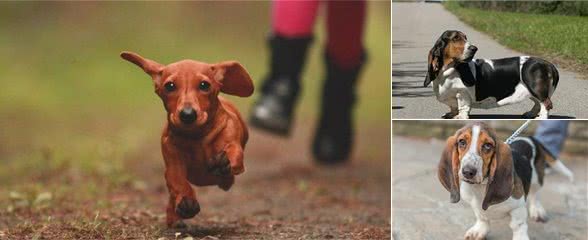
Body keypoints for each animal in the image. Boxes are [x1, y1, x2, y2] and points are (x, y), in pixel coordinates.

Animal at [120, 50, 254, 227]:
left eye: (204, 85)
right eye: (170, 86)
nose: (188, 115)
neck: (196, 137)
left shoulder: (231, 140)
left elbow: (234, 154)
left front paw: (224, 162)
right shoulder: (172, 164)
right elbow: (178, 181)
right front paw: (186, 200)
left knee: (227, 180)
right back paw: (174, 217)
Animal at [424, 30, 560, 119]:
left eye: (465, 37)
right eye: (455, 38)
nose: (474, 48)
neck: (448, 70)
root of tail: (549, 64)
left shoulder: (462, 94)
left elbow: (463, 108)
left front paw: (460, 117)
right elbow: (453, 107)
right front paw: (451, 114)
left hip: (536, 88)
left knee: (546, 103)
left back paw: (541, 118)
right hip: (532, 91)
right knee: (538, 103)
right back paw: (530, 114)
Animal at [436, 123, 576, 239]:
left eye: (488, 145)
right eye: (462, 142)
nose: (468, 172)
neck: (480, 187)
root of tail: (531, 138)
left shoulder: (518, 207)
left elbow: (518, 226)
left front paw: (520, 237)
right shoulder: (474, 205)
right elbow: (482, 217)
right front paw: (479, 230)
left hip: (537, 178)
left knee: (534, 194)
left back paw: (537, 211)